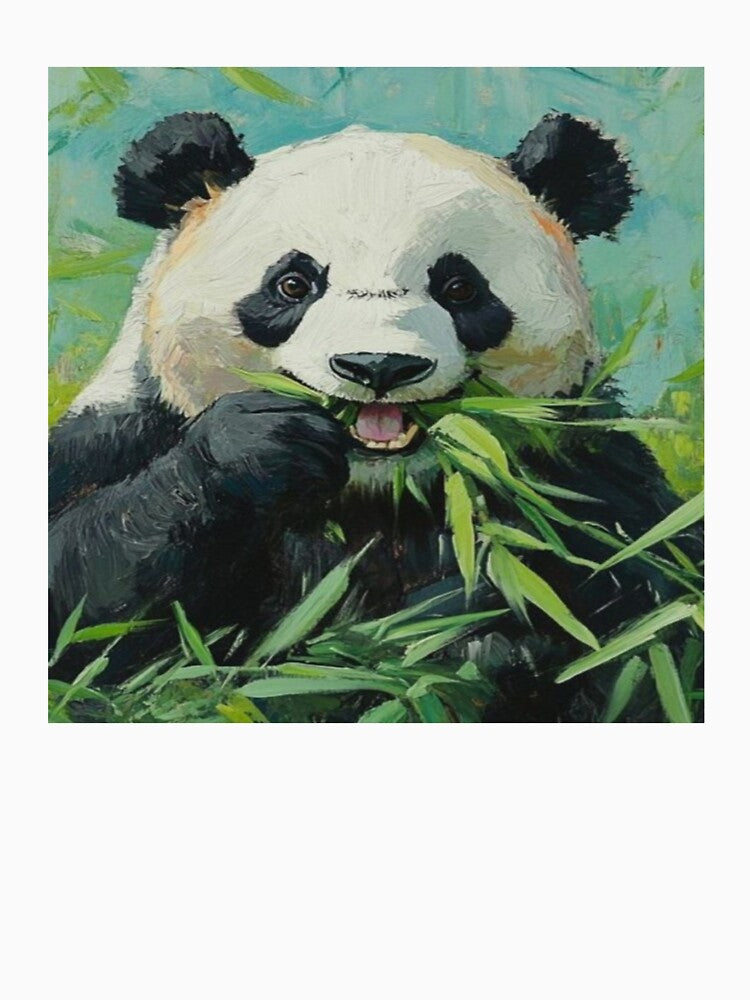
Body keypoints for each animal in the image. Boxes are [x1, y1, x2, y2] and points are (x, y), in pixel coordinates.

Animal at [48, 111, 697, 721]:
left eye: (460, 288)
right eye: (293, 283)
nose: (378, 365)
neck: (376, 492)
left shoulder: (581, 471)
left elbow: (649, 613)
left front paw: (471, 633)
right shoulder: (124, 432)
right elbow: (85, 613)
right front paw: (258, 443)